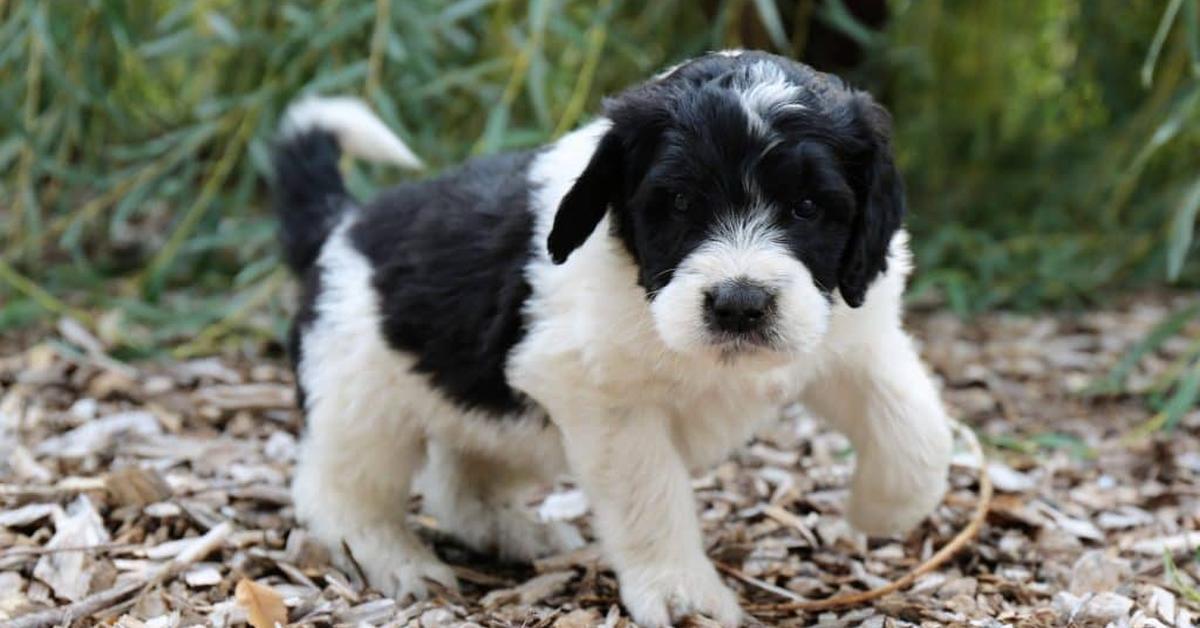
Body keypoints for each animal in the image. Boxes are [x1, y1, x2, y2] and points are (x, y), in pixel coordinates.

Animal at [274, 51, 955, 624]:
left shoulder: (855, 338)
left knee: (459, 480)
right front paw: (681, 594)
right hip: (363, 398)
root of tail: (341, 224)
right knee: (339, 489)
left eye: (808, 207)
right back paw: (394, 557)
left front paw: (879, 510)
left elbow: (918, 428)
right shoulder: (606, 401)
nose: (739, 305)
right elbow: (648, 493)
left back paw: (513, 532)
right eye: (678, 202)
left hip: (494, 413)